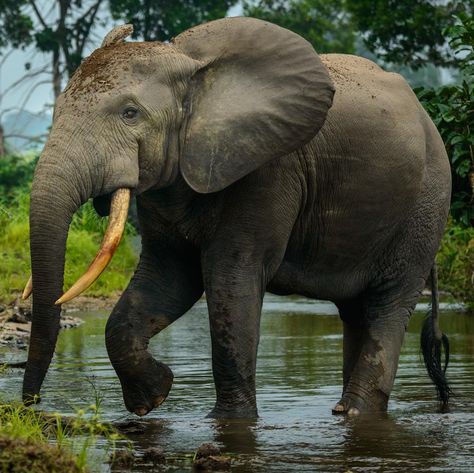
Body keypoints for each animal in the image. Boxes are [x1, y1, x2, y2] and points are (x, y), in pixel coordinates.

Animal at [22, 17, 452, 416]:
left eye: (130, 114)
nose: (29, 408)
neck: (190, 66)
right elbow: (168, 277)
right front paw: (152, 396)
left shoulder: (267, 168)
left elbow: (231, 279)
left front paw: (229, 421)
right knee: (356, 311)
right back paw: (343, 412)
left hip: (425, 206)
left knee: (388, 304)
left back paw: (356, 412)